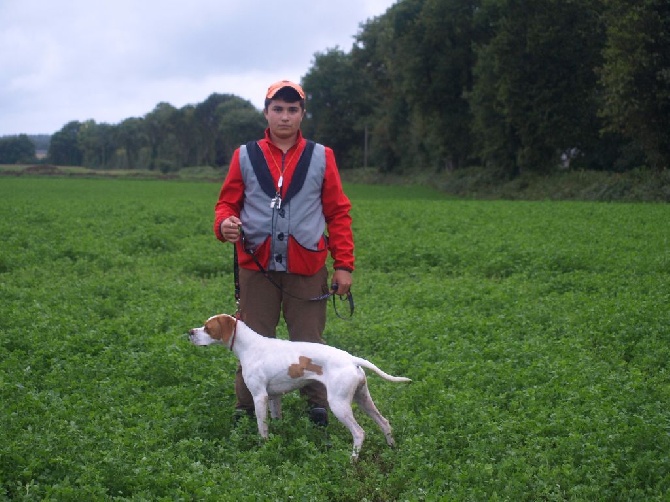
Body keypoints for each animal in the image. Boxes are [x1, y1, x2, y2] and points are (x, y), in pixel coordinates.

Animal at [186, 314, 412, 458]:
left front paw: (263, 447)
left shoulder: (259, 396)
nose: (189, 332)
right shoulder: (274, 397)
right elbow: (276, 420)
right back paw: (392, 449)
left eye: (207, 328)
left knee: (359, 432)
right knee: (384, 423)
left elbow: (262, 426)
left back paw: (352, 461)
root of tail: (351, 359)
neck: (250, 346)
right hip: (363, 399)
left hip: (339, 405)